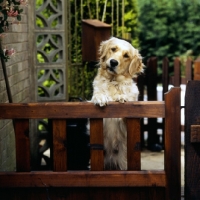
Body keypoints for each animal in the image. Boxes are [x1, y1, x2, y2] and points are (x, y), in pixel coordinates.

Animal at [90, 36, 144, 170]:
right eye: (113, 49)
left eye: (126, 55)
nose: (113, 62)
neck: (113, 82)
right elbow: (98, 94)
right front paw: (101, 98)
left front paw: (122, 97)